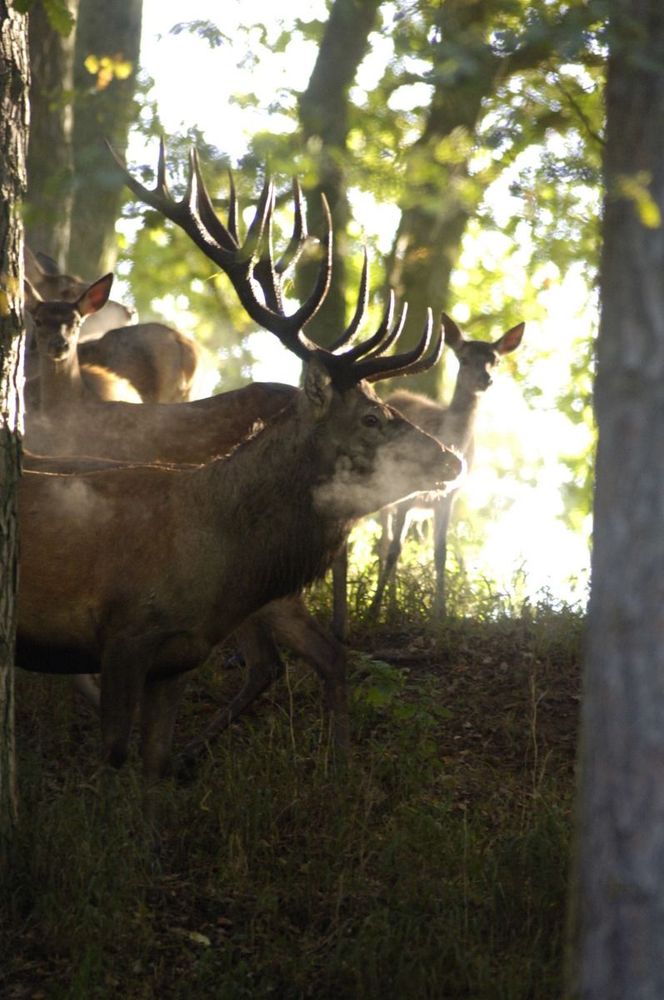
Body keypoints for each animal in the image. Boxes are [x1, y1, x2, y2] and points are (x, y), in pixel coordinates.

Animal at [331, 313, 524, 637]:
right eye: (463, 357)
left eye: (494, 360)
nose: (485, 379)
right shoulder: (407, 492)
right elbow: (395, 549)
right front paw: (372, 612)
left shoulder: (449, 496)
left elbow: (440, 551)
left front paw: (441, 614)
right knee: (385, 544)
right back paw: (387, 607)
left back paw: (394, 606)